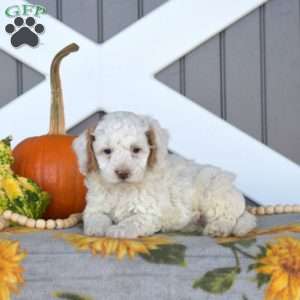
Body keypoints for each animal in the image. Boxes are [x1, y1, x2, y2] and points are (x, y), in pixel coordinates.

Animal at [72, 111, 255, 238]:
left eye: (136, 150)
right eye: (107, 151)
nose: (123, 173)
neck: (122, 189)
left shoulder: (148, 214)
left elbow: (132, 220)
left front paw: (118, 230)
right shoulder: (95, 207)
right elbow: (95, 217)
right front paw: (97, 229)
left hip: (214, 192)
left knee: (228, 217)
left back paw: (218, 228)